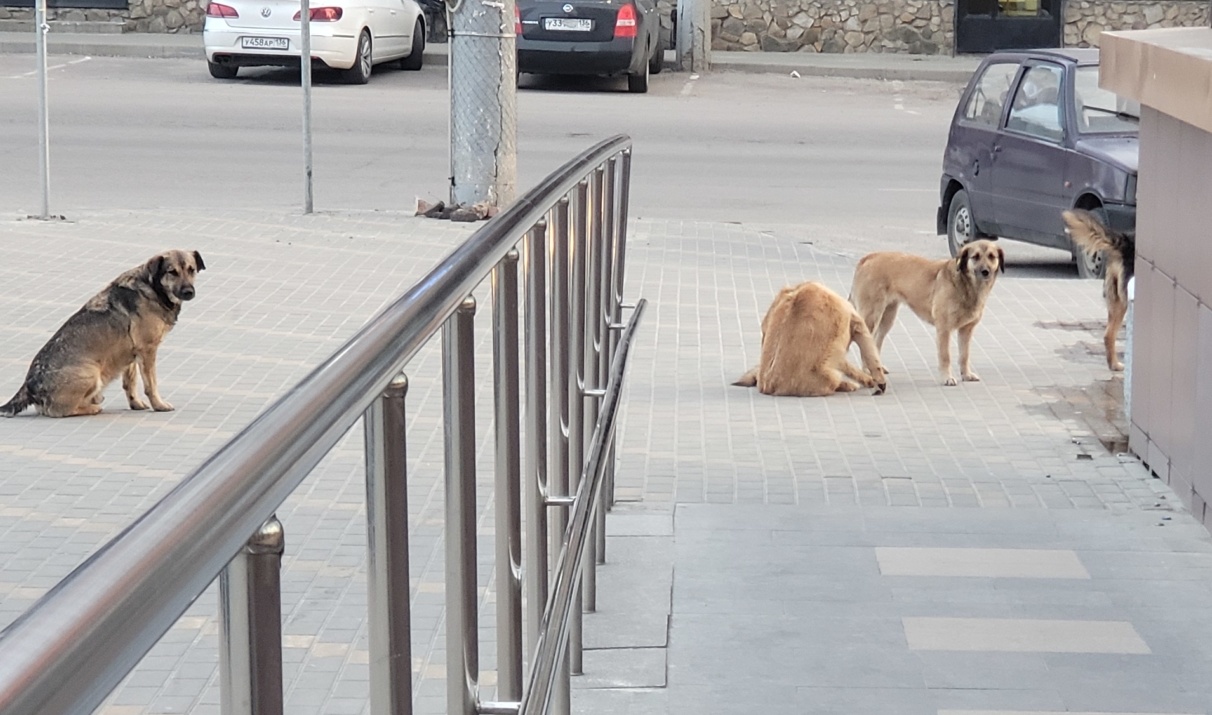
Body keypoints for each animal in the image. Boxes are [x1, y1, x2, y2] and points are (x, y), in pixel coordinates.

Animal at [0, 252, 206, 419]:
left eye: (191, 270)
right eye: (172, 272)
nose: (189, 292)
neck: (153, 287)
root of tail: (30, 385)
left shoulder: (131, 354)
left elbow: (130, 383)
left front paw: (136, 404)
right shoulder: (147, 351)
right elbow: (151, 385)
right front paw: (159, 405)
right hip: (91, 373)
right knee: (59, 411)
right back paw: (92, 407)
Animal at [732, 279, 887, 399]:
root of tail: (768, 386)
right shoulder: (857, 323)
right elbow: (872, 358)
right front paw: (876, 381)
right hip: (829, 376)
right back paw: (849, 385)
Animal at [848, 239, 1008, 387]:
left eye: (992, 256)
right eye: (975, 257)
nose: (985, 271)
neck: (965, 285)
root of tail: (868, 257)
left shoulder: (966, 330)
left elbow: (964, 355)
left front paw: (966, 374)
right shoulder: (943, 329)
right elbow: (945, 356)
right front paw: (946, 378)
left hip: (887, 318)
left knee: (876, 342)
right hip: (872, 316)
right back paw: (867, 371)